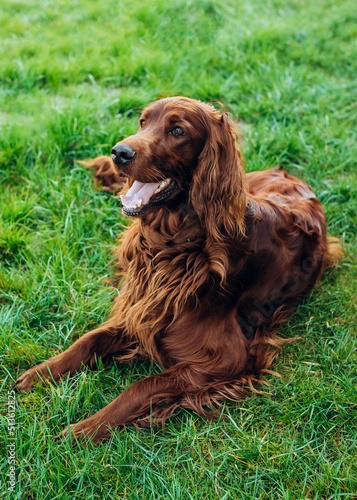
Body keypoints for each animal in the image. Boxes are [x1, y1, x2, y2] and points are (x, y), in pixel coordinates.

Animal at [16, 95, 340, 444]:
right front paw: (40, 373)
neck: (175, 248)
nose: (119, 152)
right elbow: (88, 340)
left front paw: (85, 429)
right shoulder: (142, 309)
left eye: (177, 131)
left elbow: (141, 386)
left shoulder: (228, 360)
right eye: (142, 122)